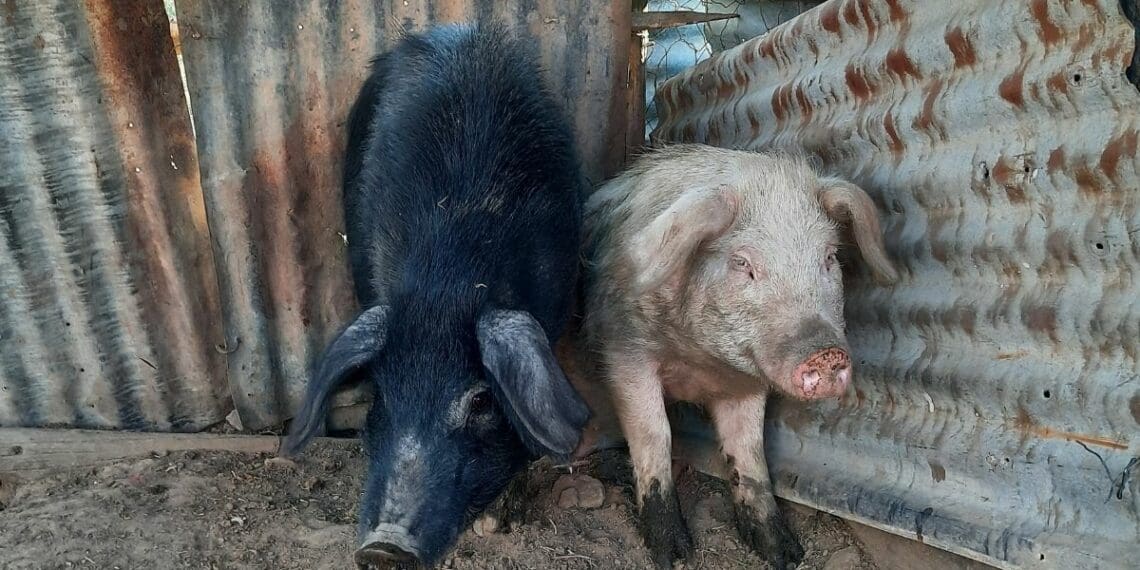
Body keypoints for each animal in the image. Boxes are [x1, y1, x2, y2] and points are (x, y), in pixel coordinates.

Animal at [580, 144, 898, 569]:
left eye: (830, 257)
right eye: (743, 263)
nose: (825, 352)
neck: (702, 364)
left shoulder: (746, 383)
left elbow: (749, 448)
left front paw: (785, 554)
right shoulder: (624, 350)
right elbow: (654, 433)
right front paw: (674, 555)